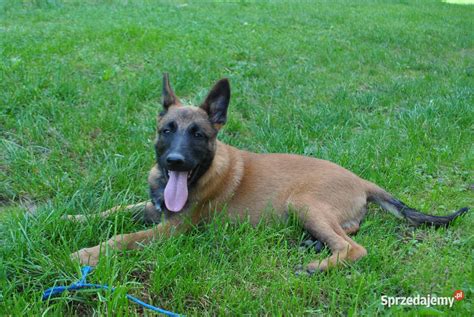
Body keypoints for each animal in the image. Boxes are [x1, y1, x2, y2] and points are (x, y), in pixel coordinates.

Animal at [69, 73, 466, 272]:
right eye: (167, 130)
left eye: (198, 135)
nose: (175, 162)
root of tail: (360, 180)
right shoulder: (154, 208)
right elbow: (112, 211)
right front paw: (70, 218)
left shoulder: (175, 229)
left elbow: (125, 238)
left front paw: (89, 254)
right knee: (348, 230)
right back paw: (313, 244)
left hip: (303, 202)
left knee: (355, 248)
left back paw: (317, 265)